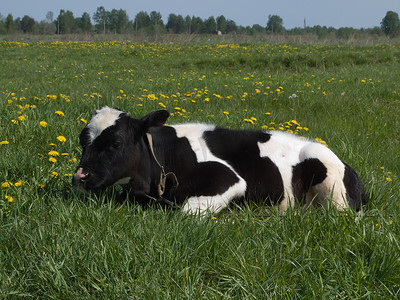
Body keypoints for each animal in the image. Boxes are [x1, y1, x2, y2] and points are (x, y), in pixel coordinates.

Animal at [73, 106, 368, 214]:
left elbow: (188, 211)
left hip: (332, 189)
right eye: (82, 141)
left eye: (115, 143)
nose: (80, 176)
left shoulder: (231, 179)